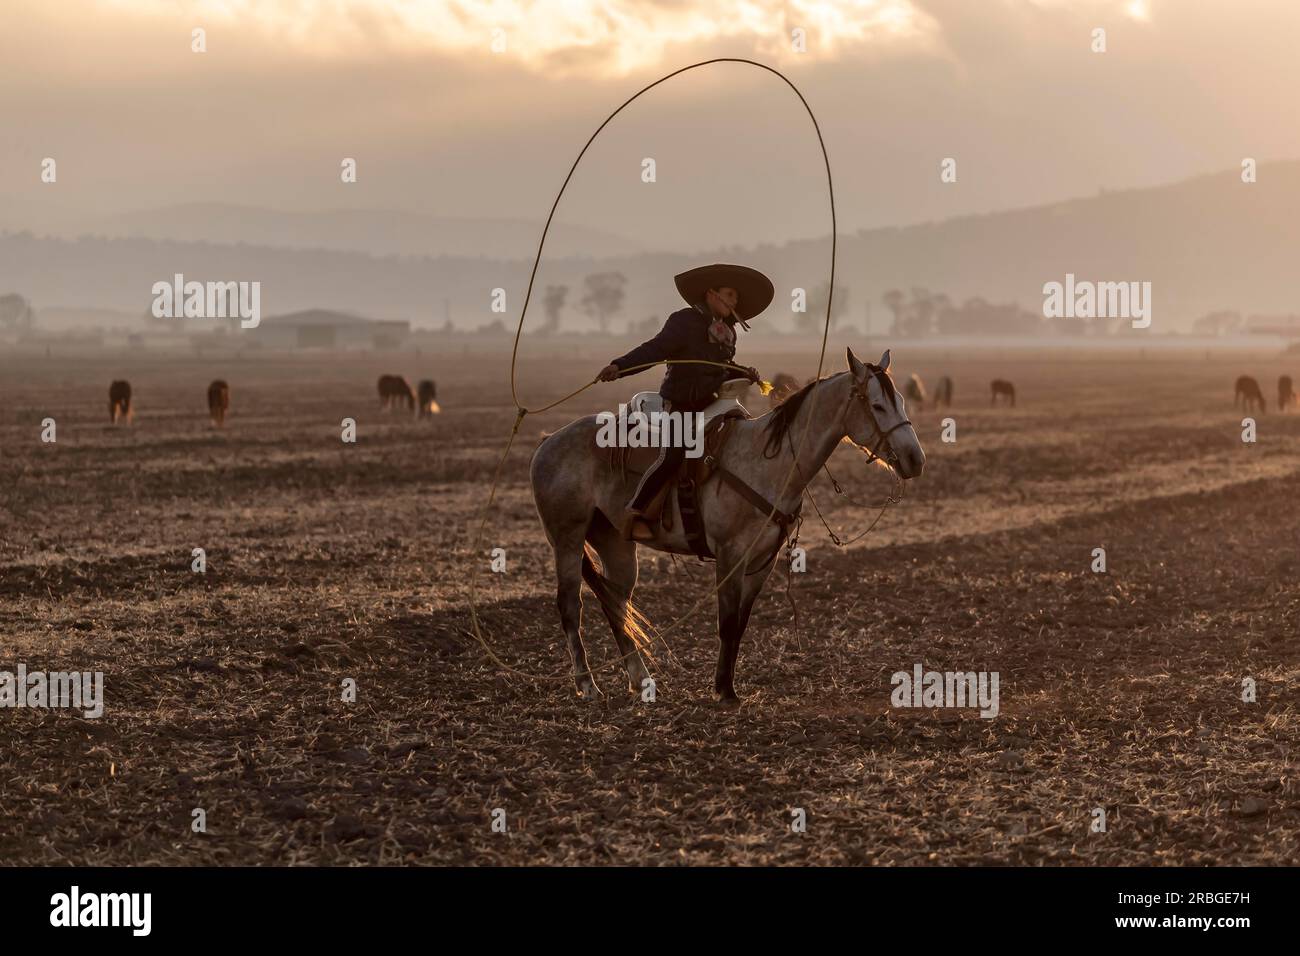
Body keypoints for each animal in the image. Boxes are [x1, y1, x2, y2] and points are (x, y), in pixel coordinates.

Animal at [530, 347, 925, 703]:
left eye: (902, 402)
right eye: (877, 406)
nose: (915, 459)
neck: (768, 462)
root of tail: (548, 442)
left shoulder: (762, 562)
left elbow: (740, 625)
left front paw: (728, 687)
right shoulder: (730, 556)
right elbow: (726, 622)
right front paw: (723, 690)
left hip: (615, 543)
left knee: (616, 604)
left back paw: (641, 682)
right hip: (567, 539)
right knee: (570, 606)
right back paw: (586, 685)